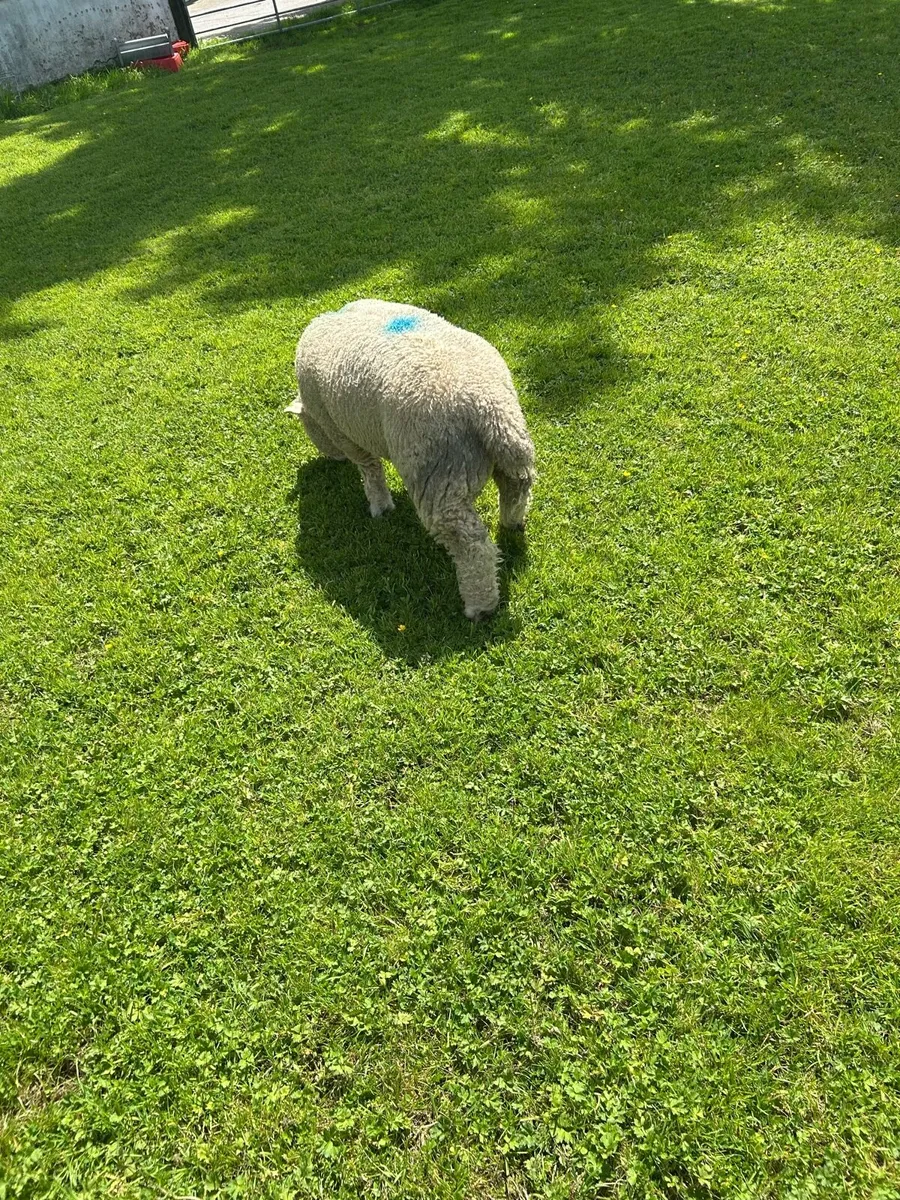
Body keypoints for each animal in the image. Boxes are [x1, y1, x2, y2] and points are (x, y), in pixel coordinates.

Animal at [285, 299, 535, 620]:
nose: (332, 459)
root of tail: (489, 407)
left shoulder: (344, 434)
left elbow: (370, 470)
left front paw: (380, 506)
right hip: (505, 449)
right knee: (517, 488)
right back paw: (512, 522)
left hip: (439, 477)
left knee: (472, 545)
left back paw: (480, 606)